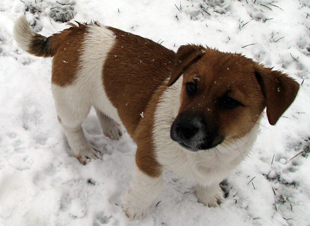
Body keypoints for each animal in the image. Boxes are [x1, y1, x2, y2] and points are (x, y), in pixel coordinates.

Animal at [13, 16, 298, 220]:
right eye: (191, 86)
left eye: (230, 102)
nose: (182, 129)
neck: (209, 153)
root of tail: (76, 31)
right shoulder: (148, 157)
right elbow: (149, 186)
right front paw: (134, 210)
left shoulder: (222, 163)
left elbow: (210, 180)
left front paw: (208, 194)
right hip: (73, 99)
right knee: (71, 126)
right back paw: (84, 150)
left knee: (103, 107)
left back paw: (110, 128)